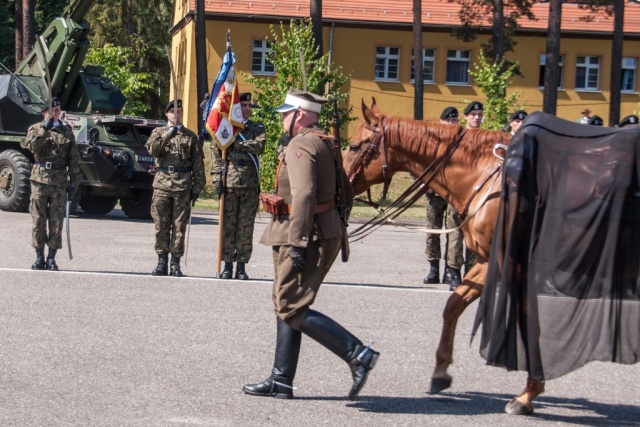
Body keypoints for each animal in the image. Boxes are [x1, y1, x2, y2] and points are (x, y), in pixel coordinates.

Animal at [344, 99, 544, 414]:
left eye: (354, 146)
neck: (488, 182)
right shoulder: (488, 261)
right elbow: (453, 304)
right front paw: (440, 371)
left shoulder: (511, 265)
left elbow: (529, 321)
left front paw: (529, 392)